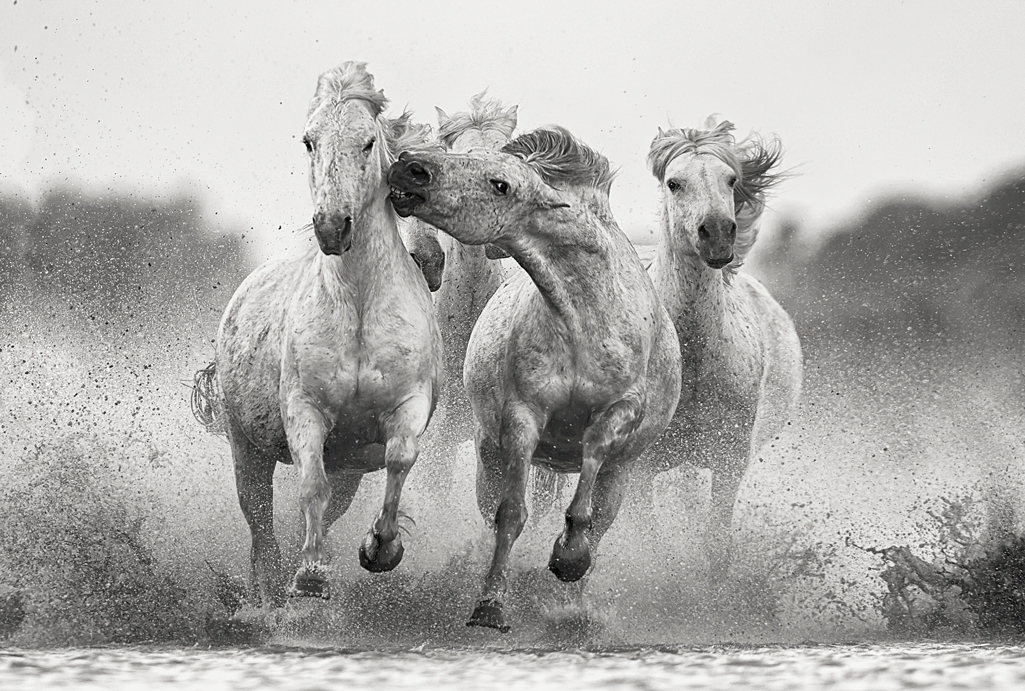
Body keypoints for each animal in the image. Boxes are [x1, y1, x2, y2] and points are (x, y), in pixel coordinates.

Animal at [196, 62, 444, 608]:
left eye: (368, 141)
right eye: (309, 141)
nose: (332, 227)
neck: (359, 308)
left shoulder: (408, 406)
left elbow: (400, 459)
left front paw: (380, 549)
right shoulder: (304, 410)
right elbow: (310, 485)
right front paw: (312, 575)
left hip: (348, 466)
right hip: (246, 449)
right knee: (260, 524)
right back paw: (268, 590)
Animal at [389, 127, 682, 633]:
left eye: (501, 184)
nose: (409, 167)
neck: (586, 317)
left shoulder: (621, 410)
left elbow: (592, 466)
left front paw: (569, 558)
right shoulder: (523, 416)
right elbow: (510, 514)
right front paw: (489, 606)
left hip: (621, 474)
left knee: (602, 519)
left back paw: (574, 604)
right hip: (489, 455)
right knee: (495, 510)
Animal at [643, 116, 803, 579]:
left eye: (731, 179)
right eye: (674, 182)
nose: (716, 235)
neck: (692, 361)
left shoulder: (729, 459)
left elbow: (715, 547)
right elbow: (648, 549)